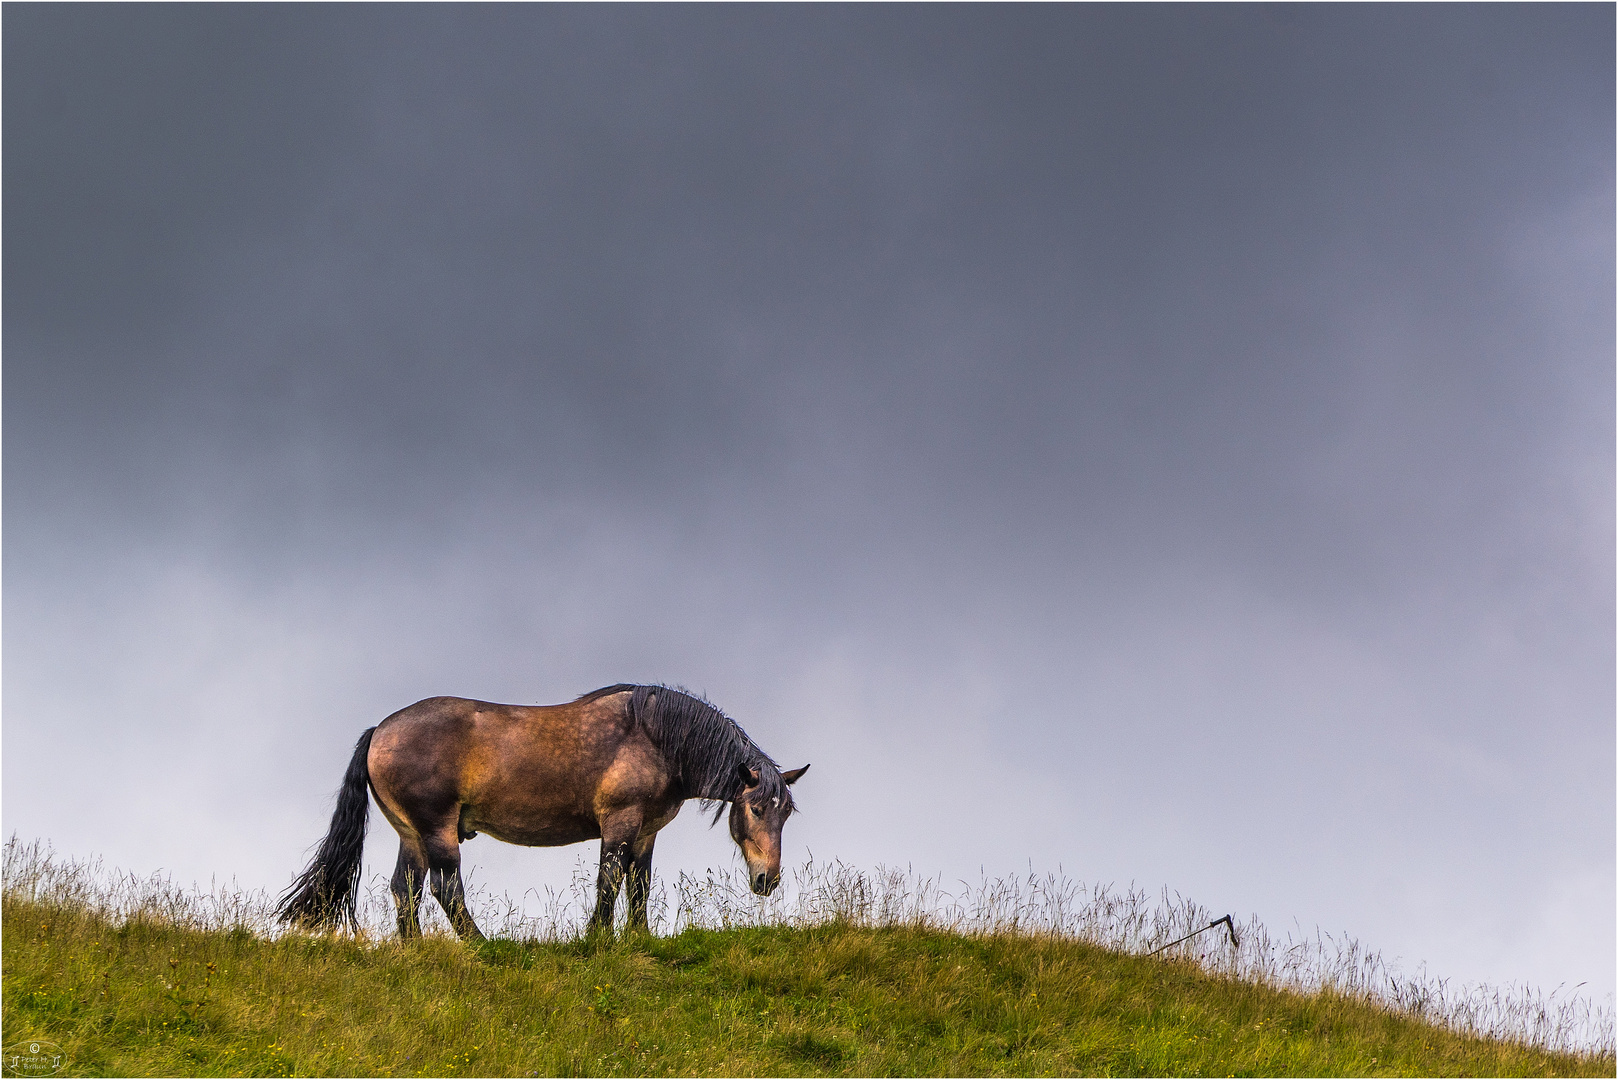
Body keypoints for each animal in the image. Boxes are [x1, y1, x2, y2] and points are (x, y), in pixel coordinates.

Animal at [278, 683, 815, 939]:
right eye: (755, 808)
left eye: (785, 814)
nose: (768, 880)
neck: (656, 737)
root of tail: (381, 730)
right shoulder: (619, 823)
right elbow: (610, 881)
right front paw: (596, 937)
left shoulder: (646, 832)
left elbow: (639, 886)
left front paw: (638, 938)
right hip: (437, 830)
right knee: (445, 889)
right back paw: (483, 945)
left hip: (411, 834)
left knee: (404, 890)